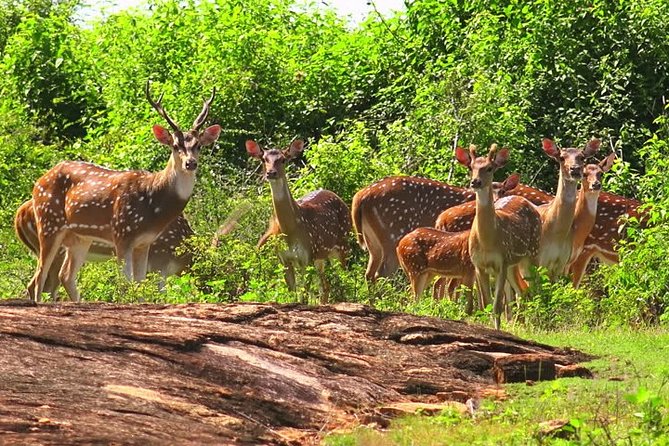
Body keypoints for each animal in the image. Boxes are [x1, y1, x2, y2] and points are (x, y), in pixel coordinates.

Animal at [244, 139, 350, 304]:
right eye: (263, 159)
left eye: (283, 159)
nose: (271, 172)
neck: (291, 230)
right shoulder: (284, 259)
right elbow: (292, 293)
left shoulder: (306, 256)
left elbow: (304, 296)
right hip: (321, 256)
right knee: (325, 286)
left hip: (343, 245)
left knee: (344, 279)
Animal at [454, 145, 544, 330]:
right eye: (470, 167)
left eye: (489, 168)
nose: (475, 182)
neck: (487, 241)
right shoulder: (479, 265)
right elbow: (488, 303)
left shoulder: (501, 262)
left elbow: (497, 306)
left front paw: (497, 330)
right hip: (513, 263)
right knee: (522, 290)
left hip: (532, 253)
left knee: (534, 287)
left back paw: (536, 323)